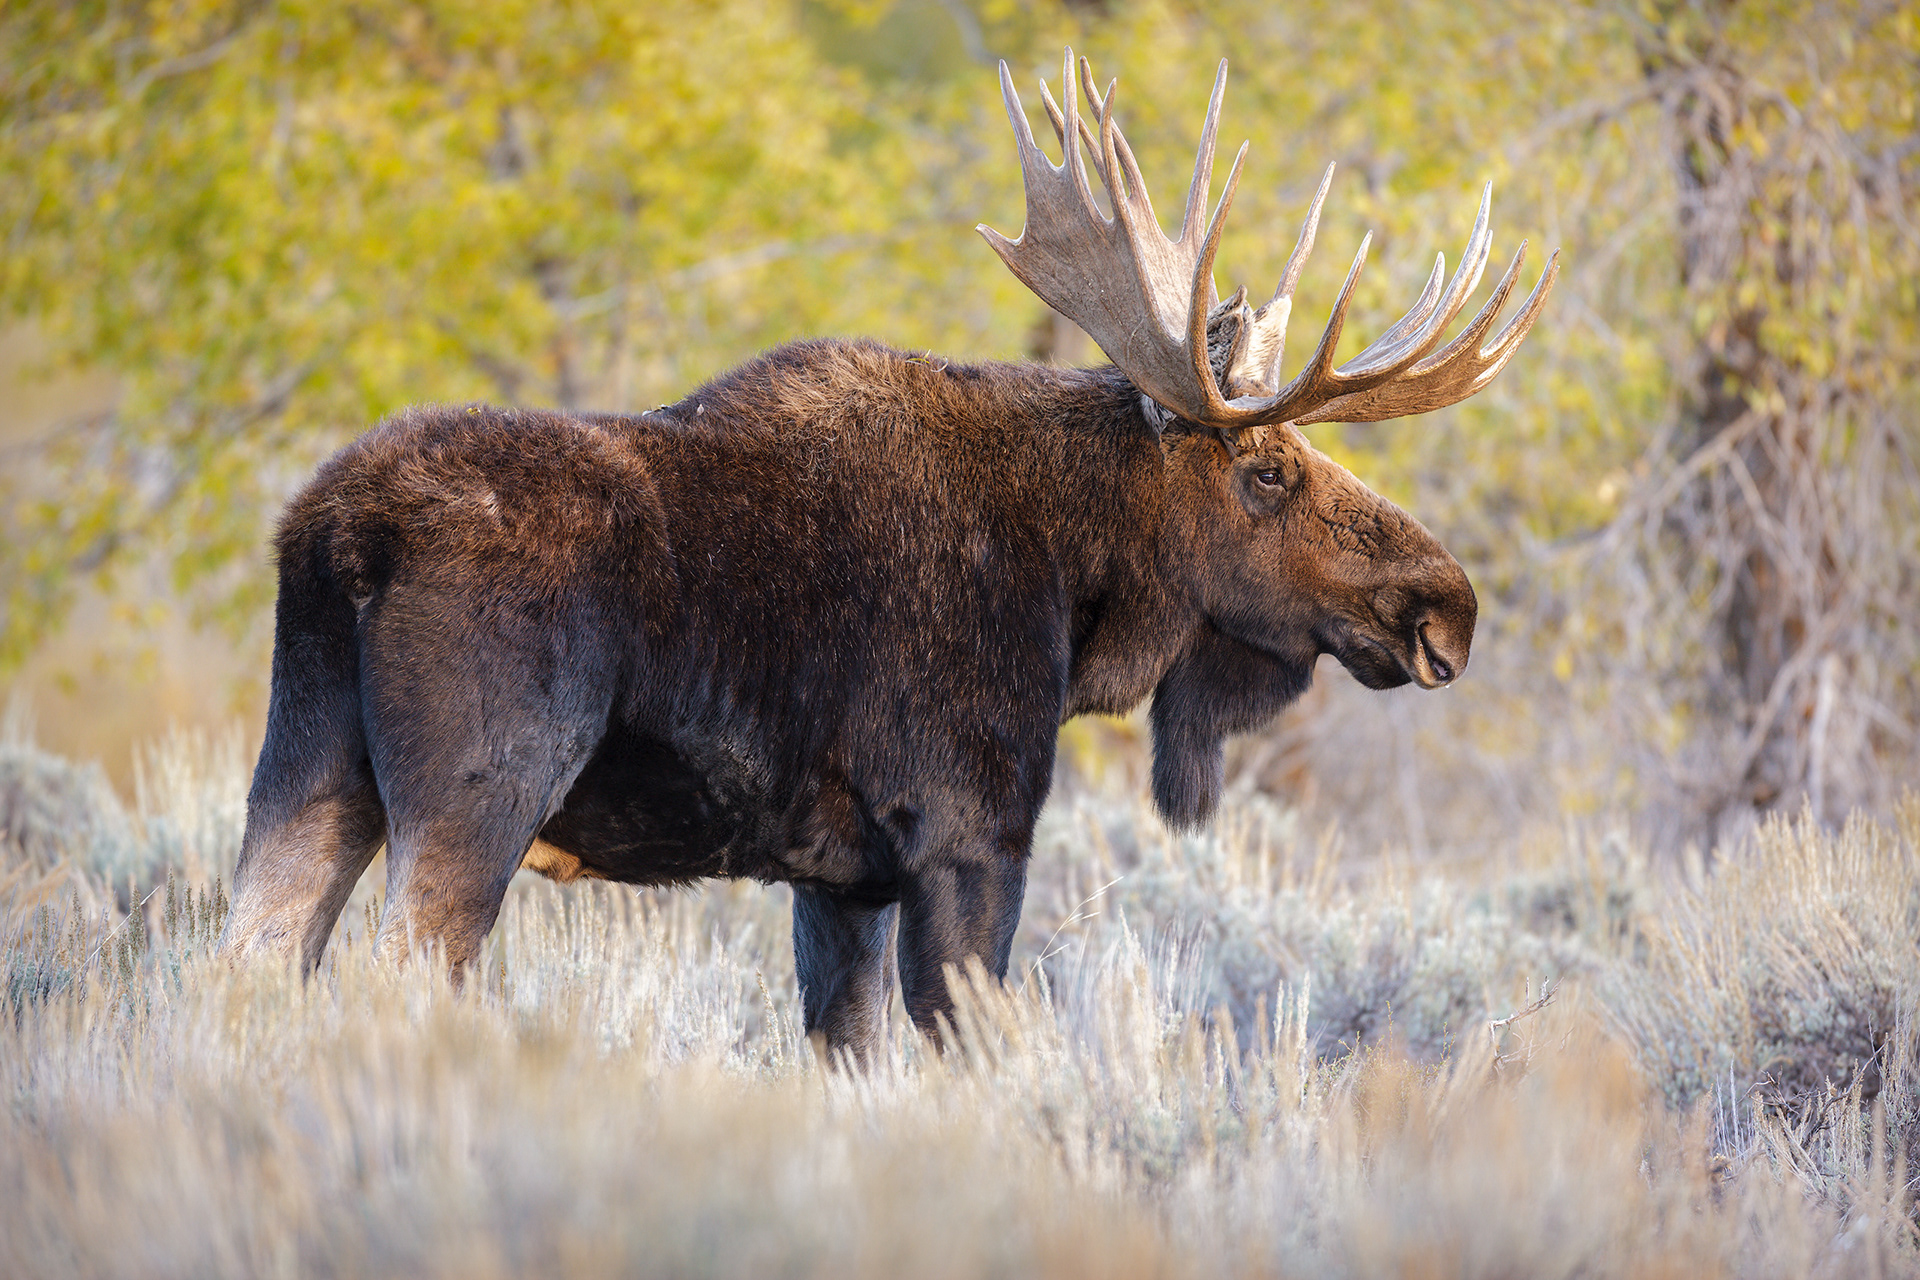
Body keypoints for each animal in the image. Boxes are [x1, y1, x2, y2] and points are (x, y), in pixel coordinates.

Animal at [218, 50, 1557, 1059]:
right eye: (1267, 467)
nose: (1447, 606)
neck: (1078, 594)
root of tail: (342, 536)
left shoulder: (840, 878)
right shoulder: (971, 830)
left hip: (307, 769)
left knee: (243, 966)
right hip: (479, 790)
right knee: (389, 977)